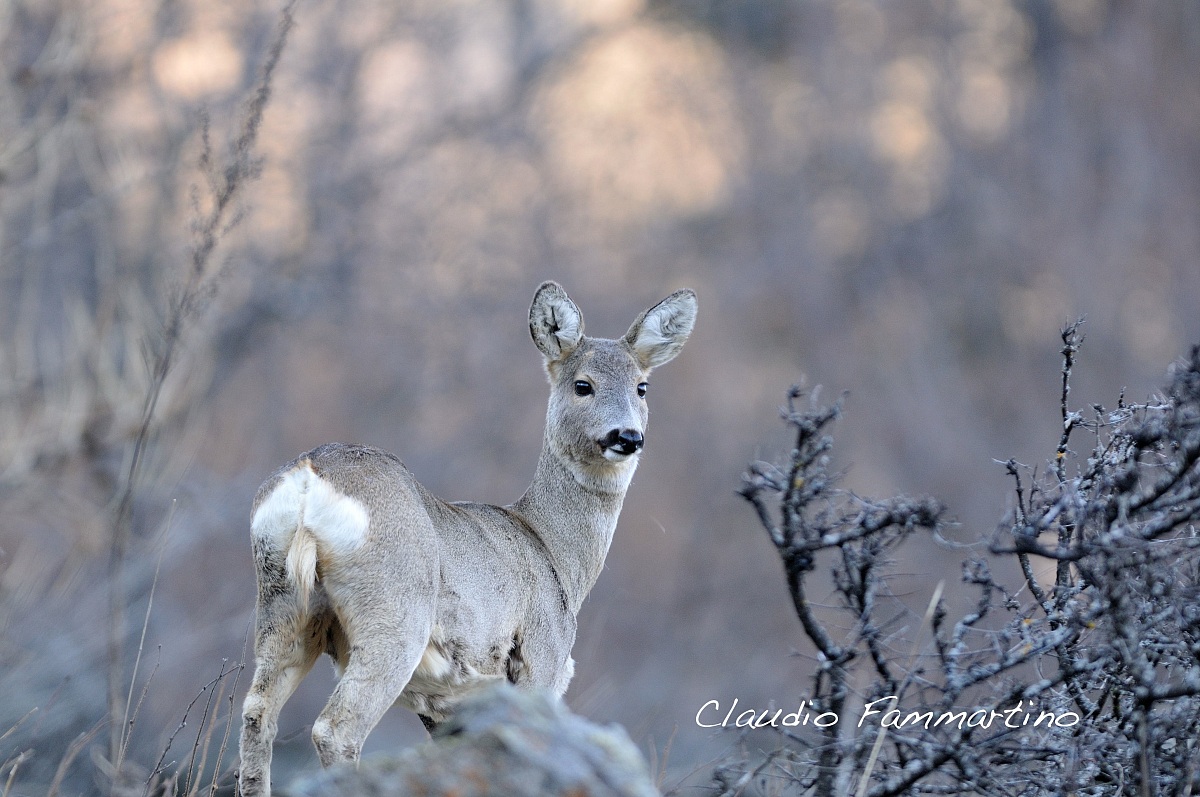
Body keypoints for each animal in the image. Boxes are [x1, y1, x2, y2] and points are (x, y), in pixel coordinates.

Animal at [237, 281, 697, 796]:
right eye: (583, 384)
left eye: (642, 386)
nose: (627, 436)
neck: (554, 552)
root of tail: (309, 477)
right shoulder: (541, 658)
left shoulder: (446, 705)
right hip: (394, 613)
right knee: (336, 728)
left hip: (283, 604)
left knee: (258, 714)